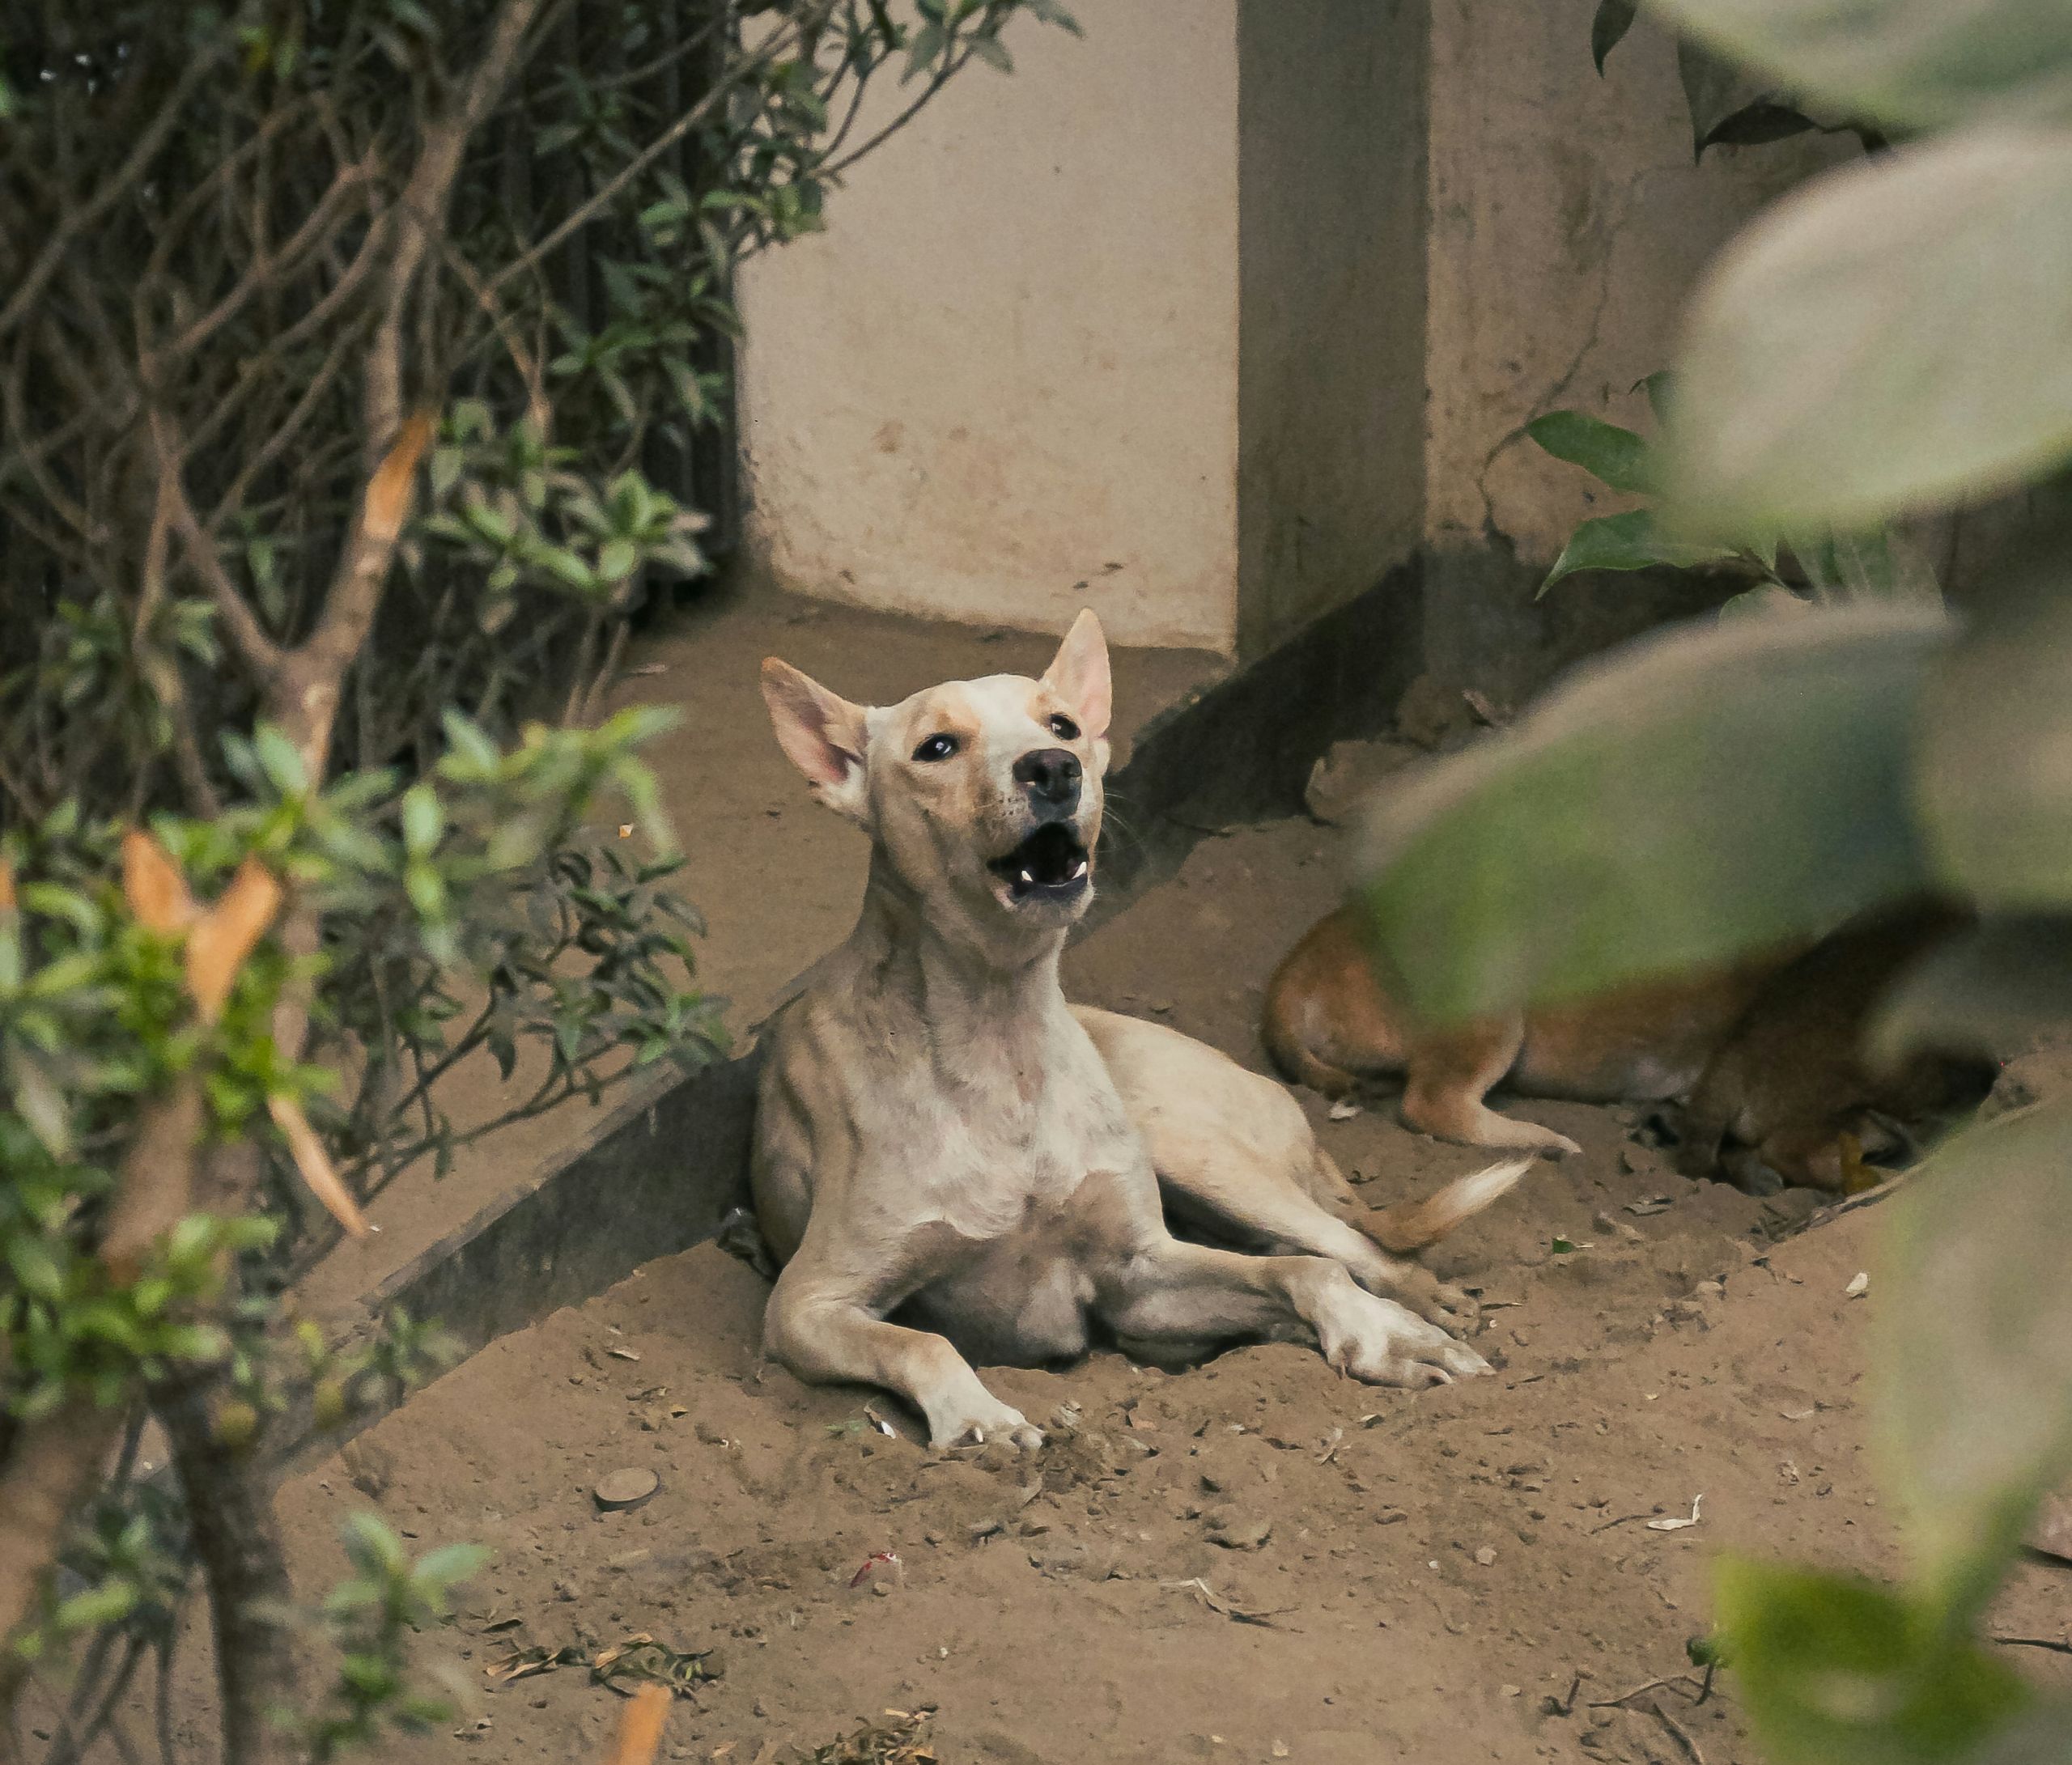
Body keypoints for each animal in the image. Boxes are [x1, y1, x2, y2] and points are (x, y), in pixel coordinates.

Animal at [749, 617, 1525, 1449]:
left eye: (1063, 726)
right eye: (937, 746)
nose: (1054, 767)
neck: (1000, 1034)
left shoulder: (1138, 1273)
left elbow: (1309, 1272)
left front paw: (1386, 1335)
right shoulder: (805, 1304)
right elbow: (920, 1340)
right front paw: (980, 1416)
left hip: (1195, 1150)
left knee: (1352, 1246)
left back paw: (1416, 1302)